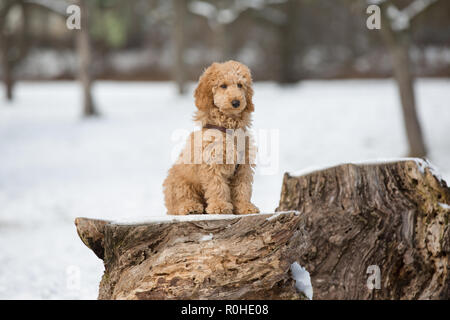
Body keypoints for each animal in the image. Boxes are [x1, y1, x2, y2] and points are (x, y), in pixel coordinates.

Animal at [163, 60, 258, 215]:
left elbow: (243, 188)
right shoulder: (212, 162)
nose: (236, 102)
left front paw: (246, 207)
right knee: (180, 202)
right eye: (223, 85)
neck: (229, 128)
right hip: (179, 183)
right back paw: (190, 207)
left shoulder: (244, 166)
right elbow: (217, 186)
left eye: (240, 85)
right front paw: (219, 206)